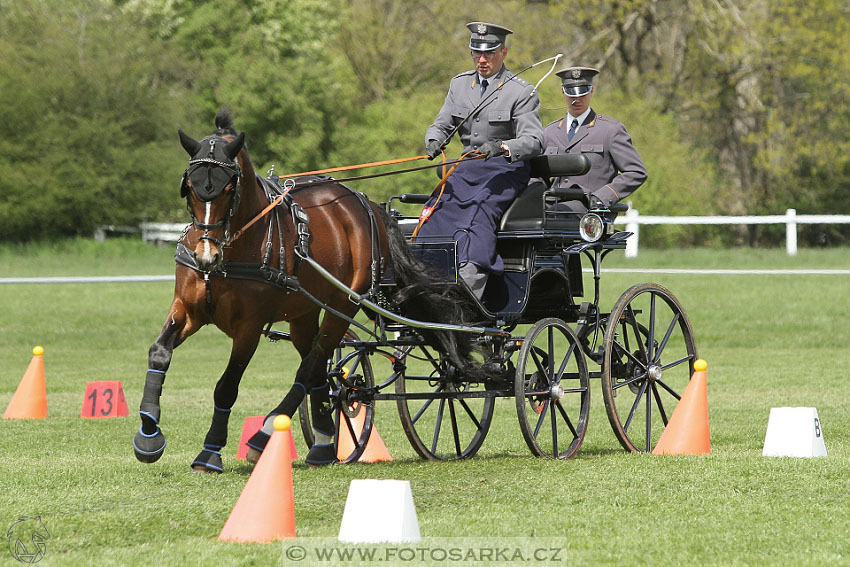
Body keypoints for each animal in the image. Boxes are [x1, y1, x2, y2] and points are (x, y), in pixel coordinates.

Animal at [132, 108, 476, 472]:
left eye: (228, 189)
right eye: (190, 188)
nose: (205, 256)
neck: (236, 247)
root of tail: (366, 205)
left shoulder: (249, 327)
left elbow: (226, 386)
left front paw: (209, 453)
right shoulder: (188, 309)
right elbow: (159, 352)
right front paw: (148, 436)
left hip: (344, 304)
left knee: (311, 365)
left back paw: (265, 435)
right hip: (304, 312)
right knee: (318, 366)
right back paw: (324, 442)